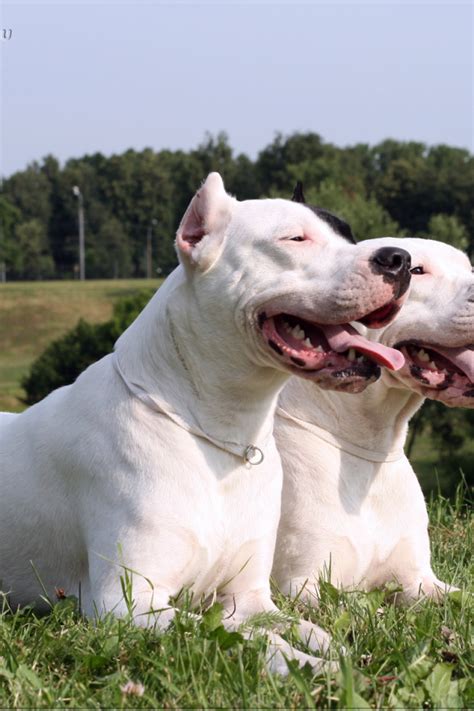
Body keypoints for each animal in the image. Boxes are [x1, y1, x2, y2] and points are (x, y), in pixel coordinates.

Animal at [0, 174, 412, 672]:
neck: (222, 431)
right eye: (295, 239)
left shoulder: (251, 596)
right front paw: (311, 666)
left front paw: (341, 652)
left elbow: (305, 627)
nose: (399, 258)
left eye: (349, 236)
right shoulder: (127, 605)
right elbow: (249, 638)